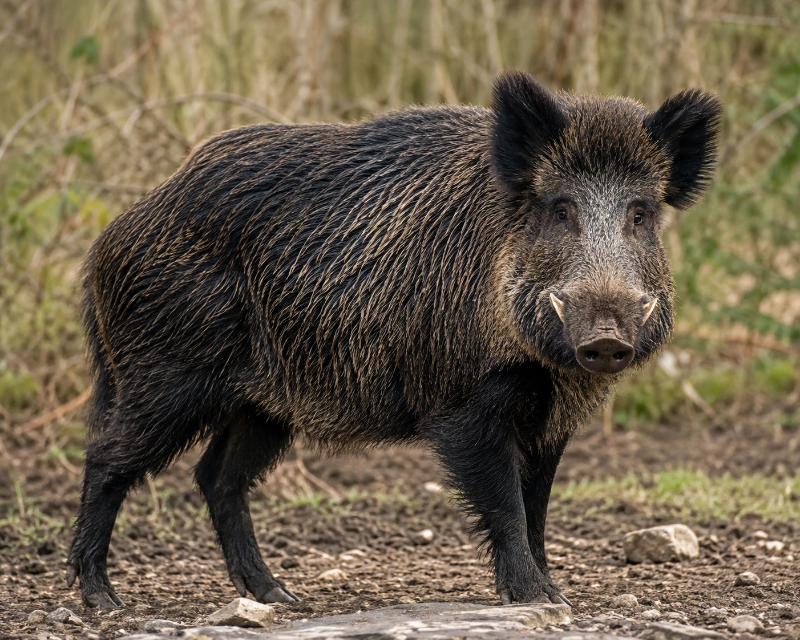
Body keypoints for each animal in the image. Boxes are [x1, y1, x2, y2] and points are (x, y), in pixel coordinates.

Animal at [67, 71, 722, 607]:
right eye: (560, 209)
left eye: (640, 213)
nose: (606, 339)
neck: (545, 368)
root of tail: (115, 234)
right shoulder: (463, 403)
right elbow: (506, 504)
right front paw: (536, 599)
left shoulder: (552, 420)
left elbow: (538, 509)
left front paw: (558, 595)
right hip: (164, 372)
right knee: (106, 457)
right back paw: (103, 600)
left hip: (265, 403)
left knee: (217, 477)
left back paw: (279, 596)